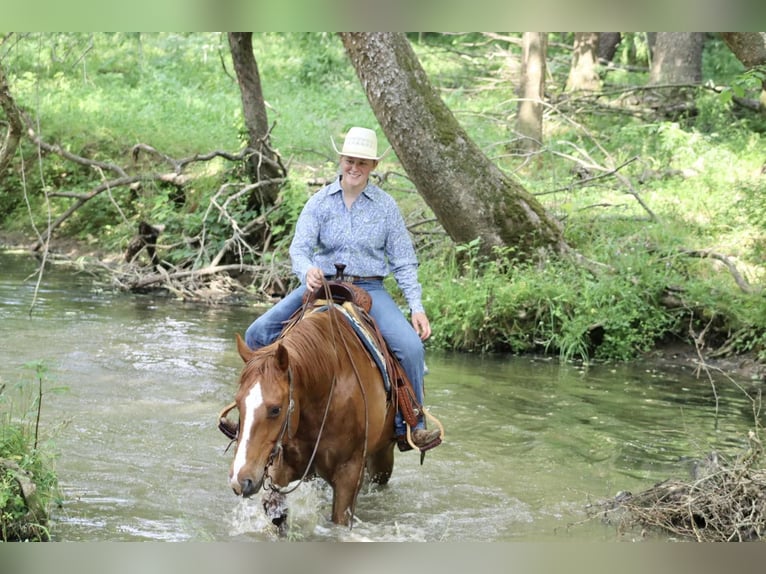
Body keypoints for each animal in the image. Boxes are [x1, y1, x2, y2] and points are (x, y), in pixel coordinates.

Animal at [219, 304, 396, 528]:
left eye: (276, 409)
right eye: (239, 402)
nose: (240, 480)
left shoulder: (349, 476)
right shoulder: (282, 465)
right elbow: (276, 511)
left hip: (383, 457)